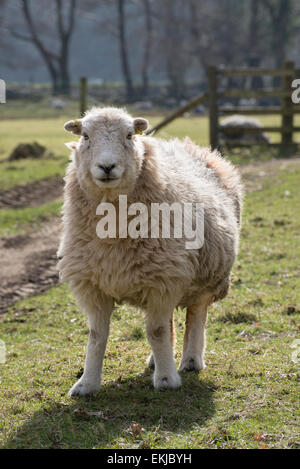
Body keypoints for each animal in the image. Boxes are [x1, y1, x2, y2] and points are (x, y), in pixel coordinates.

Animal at [57, 107, 243, 394]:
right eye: (85, 136)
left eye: (129, 135)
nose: (107, 167)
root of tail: (187, 144)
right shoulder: (94, 285)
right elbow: (97, 336)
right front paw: (86, 384)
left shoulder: (163, 281)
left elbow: (156, 331)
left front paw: (166, 380)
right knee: (169, 322)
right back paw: (157, 359)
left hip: (205, 274)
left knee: (196, 314)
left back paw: (191, 360)